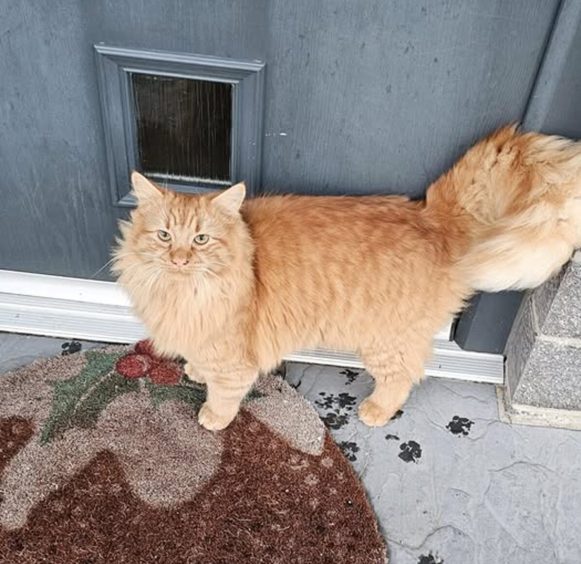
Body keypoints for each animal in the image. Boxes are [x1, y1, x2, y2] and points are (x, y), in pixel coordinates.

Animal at [114, 125, 580, 430]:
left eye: (201, 239)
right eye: (164, 236)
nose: (178, 259)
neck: (181, 292)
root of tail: (431, 218)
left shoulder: (235, 358)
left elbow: (225, 391)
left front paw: (212, 417)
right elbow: (200, 360)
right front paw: (194, 369)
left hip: (383, 343)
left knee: (404, 377)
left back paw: (376, 412)